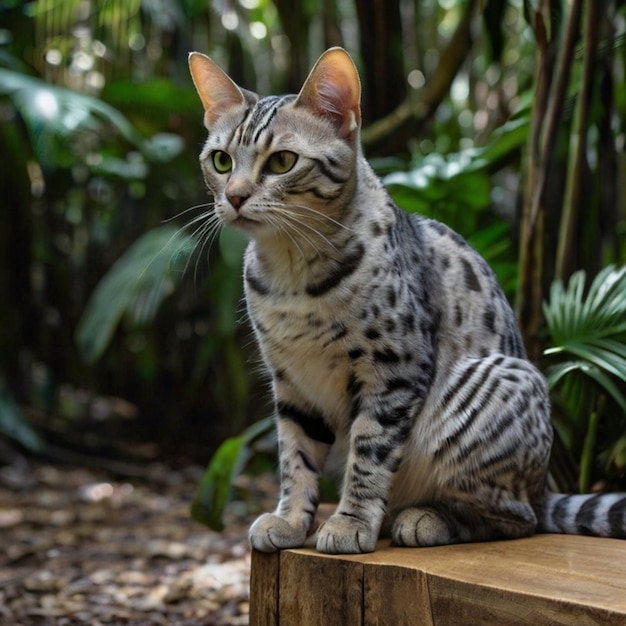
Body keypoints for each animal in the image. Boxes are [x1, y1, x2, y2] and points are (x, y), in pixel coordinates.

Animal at [186, 46, 624, 552]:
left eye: (282, 162)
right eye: (220, 161)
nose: (234, 196)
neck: (292, 277)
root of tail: (543, 486)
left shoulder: (395, 368)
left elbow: (369, 454)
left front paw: (350, 522)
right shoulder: (292, 382)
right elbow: (296, 458)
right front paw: (291, 519)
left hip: (489, 390)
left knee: (517, 518)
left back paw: (426, 518)